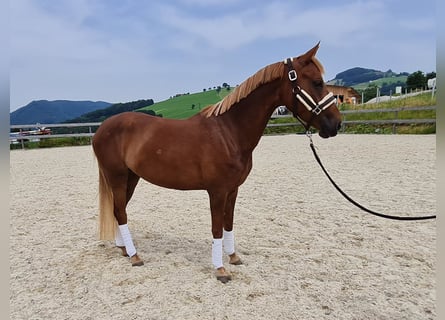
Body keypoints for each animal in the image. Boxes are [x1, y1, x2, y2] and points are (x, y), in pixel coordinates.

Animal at [90, 43, 340, 282]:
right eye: (317, 83)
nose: (336, 124)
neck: (229, 131)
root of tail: (102, 128)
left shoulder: (233, 190)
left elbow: (228, 223)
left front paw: (234, 257)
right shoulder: (217, 191)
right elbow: (217, 227)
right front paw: (220, 269)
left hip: (131, 178)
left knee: (118, 209)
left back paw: (124, 249)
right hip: (117, 176)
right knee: (120, 212)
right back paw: (135, 256)